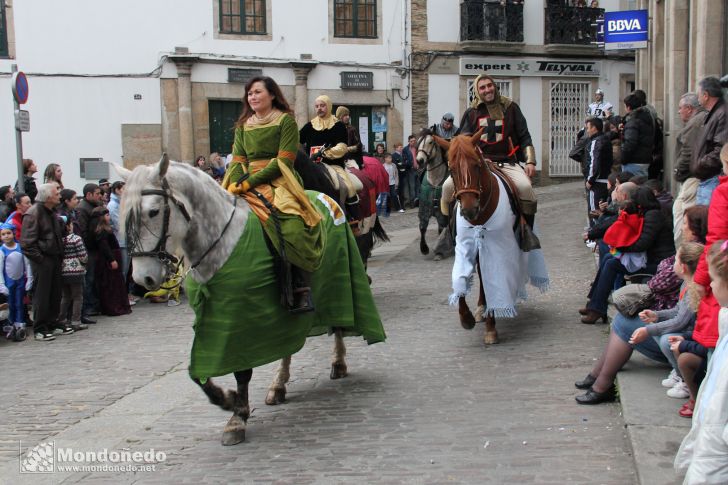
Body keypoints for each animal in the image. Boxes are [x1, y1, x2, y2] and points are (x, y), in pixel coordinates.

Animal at [116, 156, 384, 446]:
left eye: (153, 212)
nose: (142, 278)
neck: (221, 242)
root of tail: (327, 198)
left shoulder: (242, 316)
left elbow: (242, 370)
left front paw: (237, 416)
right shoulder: (214, 317)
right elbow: (196, 373)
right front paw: (228, 400)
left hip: (339, 279)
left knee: (338, 323)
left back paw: (338, 362)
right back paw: (278, 385)